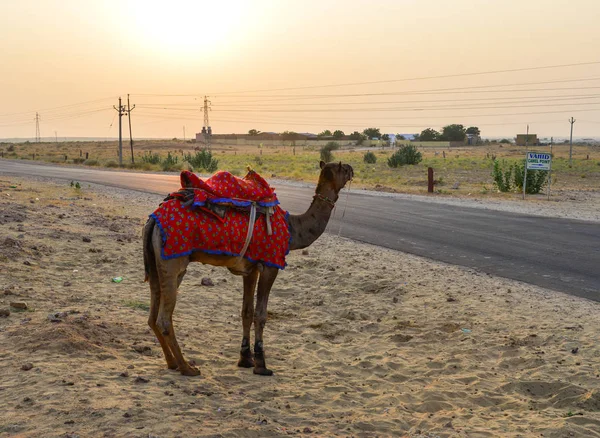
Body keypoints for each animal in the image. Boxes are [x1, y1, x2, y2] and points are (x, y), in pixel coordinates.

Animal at [144, 161, 354, 376]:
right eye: (343, 168)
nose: (352, 169)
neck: (292, 229)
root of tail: (153, 220)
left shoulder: (250, 269)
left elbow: (247, 311)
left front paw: (245, 358)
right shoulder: (270, 265)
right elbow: (261, 314)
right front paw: (261, 364)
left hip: (155, 264)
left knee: (152, 316)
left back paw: (172, 363)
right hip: (173, 262)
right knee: (163, 319)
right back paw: (187, 367)